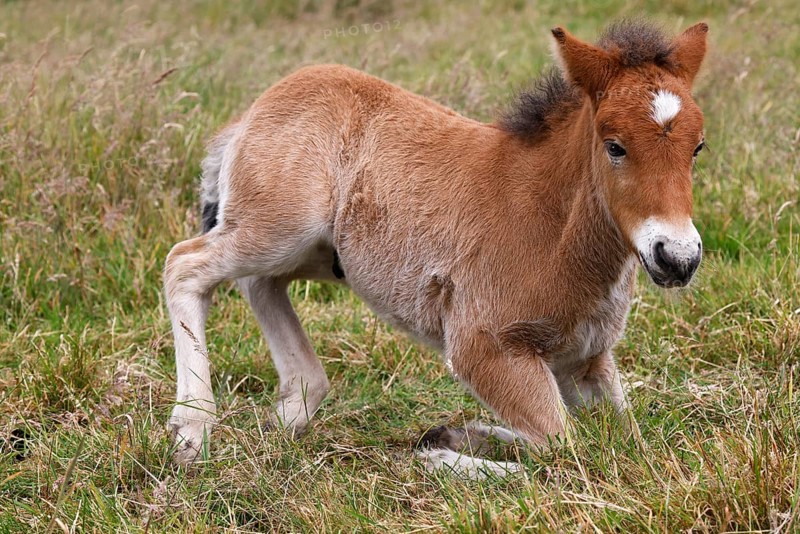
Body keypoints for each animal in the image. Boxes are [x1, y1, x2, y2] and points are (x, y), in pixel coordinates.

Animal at [164, 19, 708, 476]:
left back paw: (289, 415)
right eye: (614, 146)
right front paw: (443, 456)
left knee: (258, 284)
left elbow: (627, 445)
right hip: (281, 228)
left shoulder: (584, 362)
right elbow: (564, 454)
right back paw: (193, 431)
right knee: (185, 265)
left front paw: (455, 436)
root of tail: (251, 114)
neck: (552, 226)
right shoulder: (485, 348)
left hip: (312, 252)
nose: (677, 257)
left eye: (697, 147)